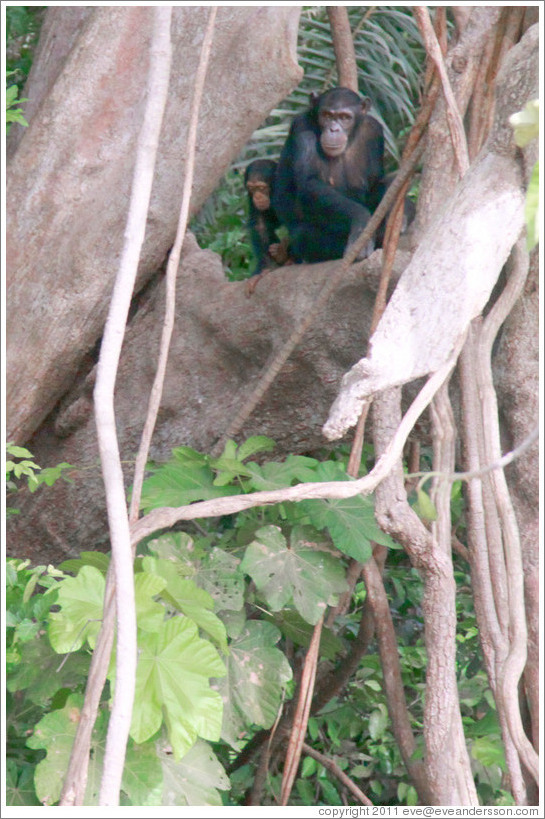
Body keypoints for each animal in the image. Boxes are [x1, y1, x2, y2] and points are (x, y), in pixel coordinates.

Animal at [272, 87, 386, 262]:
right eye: (326, 116)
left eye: (345, 118)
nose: (333, 129)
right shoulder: (302, 126)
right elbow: (309, 183)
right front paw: (362, 226)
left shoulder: (374, 131)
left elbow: (376, 183)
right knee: (303, 235)